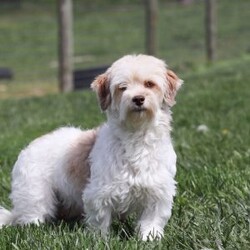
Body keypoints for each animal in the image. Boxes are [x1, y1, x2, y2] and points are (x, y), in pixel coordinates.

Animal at [0, 54, 184, 240]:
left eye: (149, 84)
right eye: (122, 88)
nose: (138, 98)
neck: (136, 137)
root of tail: (28, 148)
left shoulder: (158, 193)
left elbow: (151, 221)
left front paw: (149, 239)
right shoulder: (98, 194)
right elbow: (100, 222)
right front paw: (101, 240)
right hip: (35, 196)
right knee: (32, 218)